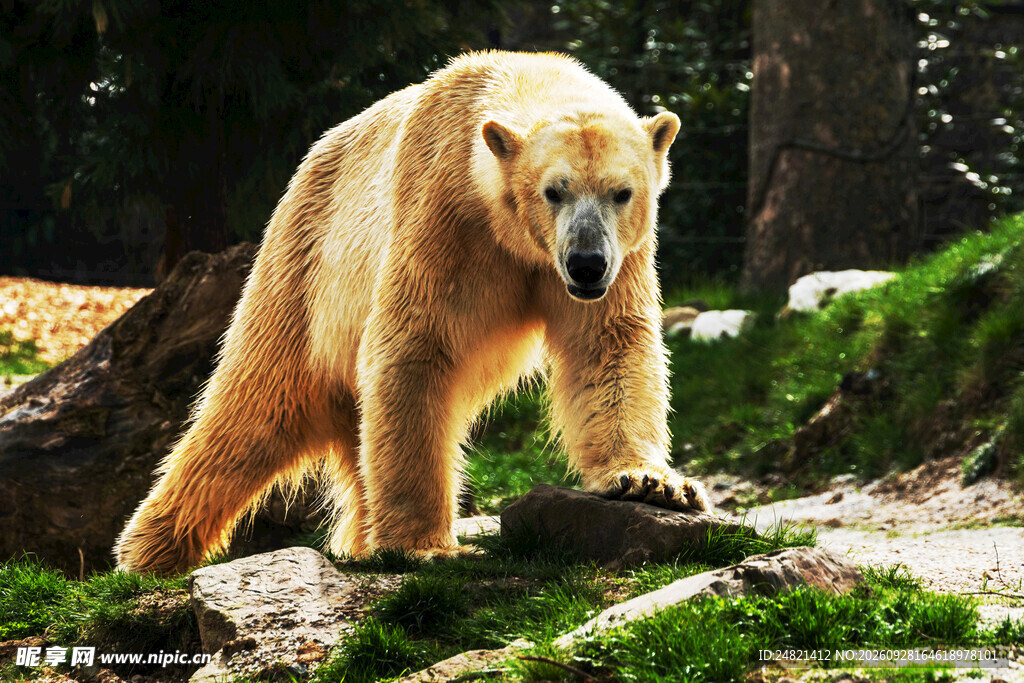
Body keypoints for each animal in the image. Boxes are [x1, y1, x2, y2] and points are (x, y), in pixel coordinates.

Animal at [114, 50, 710, 574]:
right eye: (553, 191)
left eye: (621, 192)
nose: (586, 264)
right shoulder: (443, 217)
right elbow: (414, 350)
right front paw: (422, 546)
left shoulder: (622, 259)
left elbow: (608, 344)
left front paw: (651, 483)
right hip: (301, 266)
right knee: (252, 406)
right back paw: (149, 550)